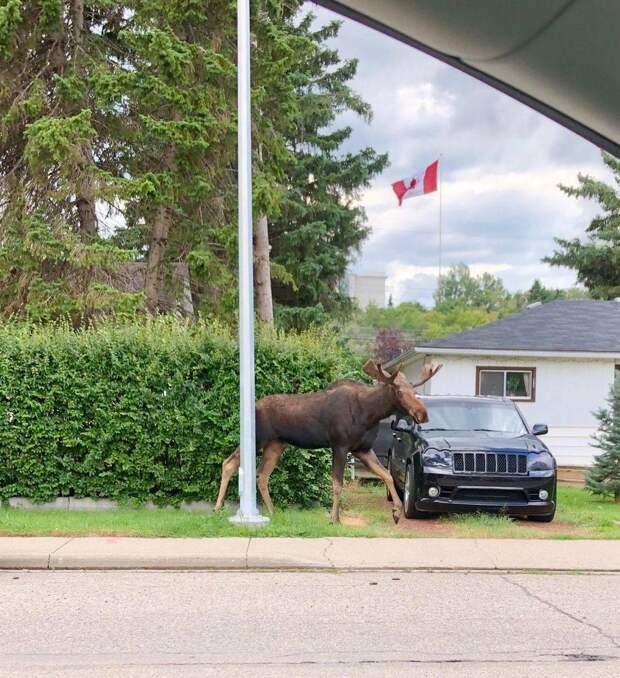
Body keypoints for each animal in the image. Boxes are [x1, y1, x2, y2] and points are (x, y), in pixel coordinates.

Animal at [216, 362, 444, 524]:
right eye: (398, 391)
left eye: (414, 390)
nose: (422, 414)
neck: (370, 414)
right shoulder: (340, 445)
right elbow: (337, 483)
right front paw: (334, 518)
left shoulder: (362, 449)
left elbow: (386, 475)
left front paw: (396, 512)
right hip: (257, 440)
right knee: (229, 462)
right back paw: (218, 508)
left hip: (276, 445)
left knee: (261, 475)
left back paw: (272, 512)